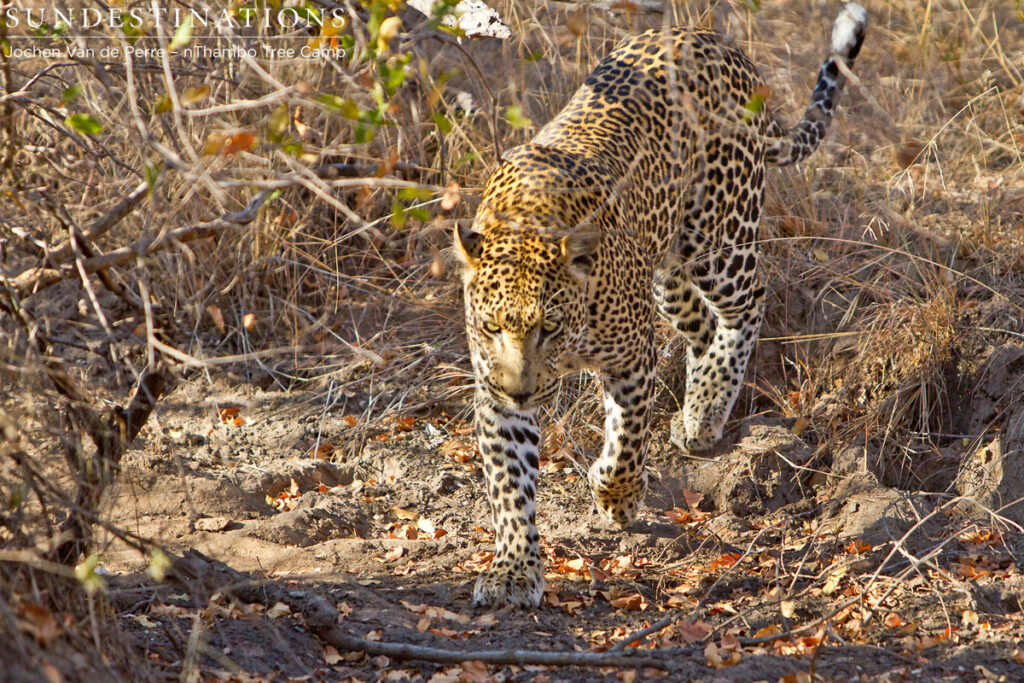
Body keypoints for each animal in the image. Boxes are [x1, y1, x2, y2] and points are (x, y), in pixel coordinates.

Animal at [453, 3, 867, 608]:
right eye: (489, 327)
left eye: (549, 328)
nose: (524, 391)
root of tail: (715, 40)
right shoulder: (495, 390)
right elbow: (511, 487)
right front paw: (514, 569)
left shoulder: (630, 360)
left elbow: (626, 442)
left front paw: (615, 497)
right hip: (666, 276)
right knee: (700, 326)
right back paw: (700, 401)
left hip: (717, 236)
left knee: (747, 305)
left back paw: (706, 410)